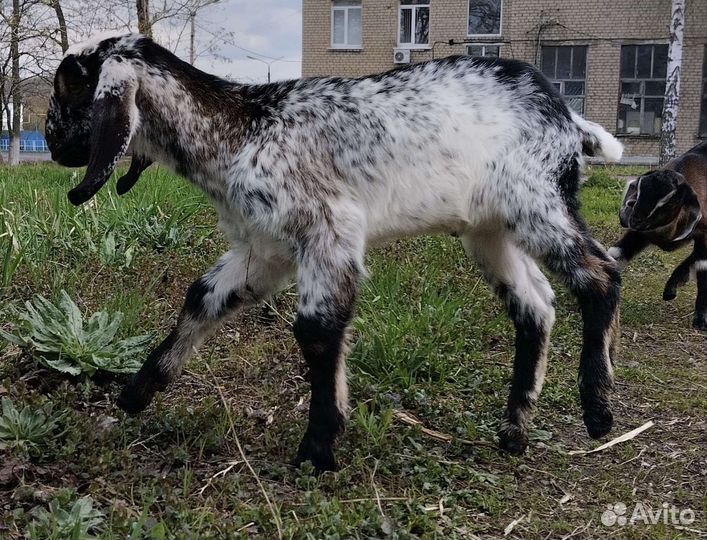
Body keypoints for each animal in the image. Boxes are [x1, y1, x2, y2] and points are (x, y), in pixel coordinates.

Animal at [46, 33, 623, 472]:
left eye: (70, 84)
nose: (50, 143)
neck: (241, 130)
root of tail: (567, 116)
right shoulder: (264, 249)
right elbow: (203, 298)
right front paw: (138, 391)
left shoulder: (329, 229)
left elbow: (318, 330)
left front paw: (318, 448)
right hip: (488, 228)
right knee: (536, 304)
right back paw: (515, 428)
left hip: (536, 199)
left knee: (600, 274)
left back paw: (597, 409)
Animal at [609, 141, 707, 330]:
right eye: (640, 188)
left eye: (668, 202)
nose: (634, 218)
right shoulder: (641, 234)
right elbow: (616, 253)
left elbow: (701, 265)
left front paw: (699, 319)